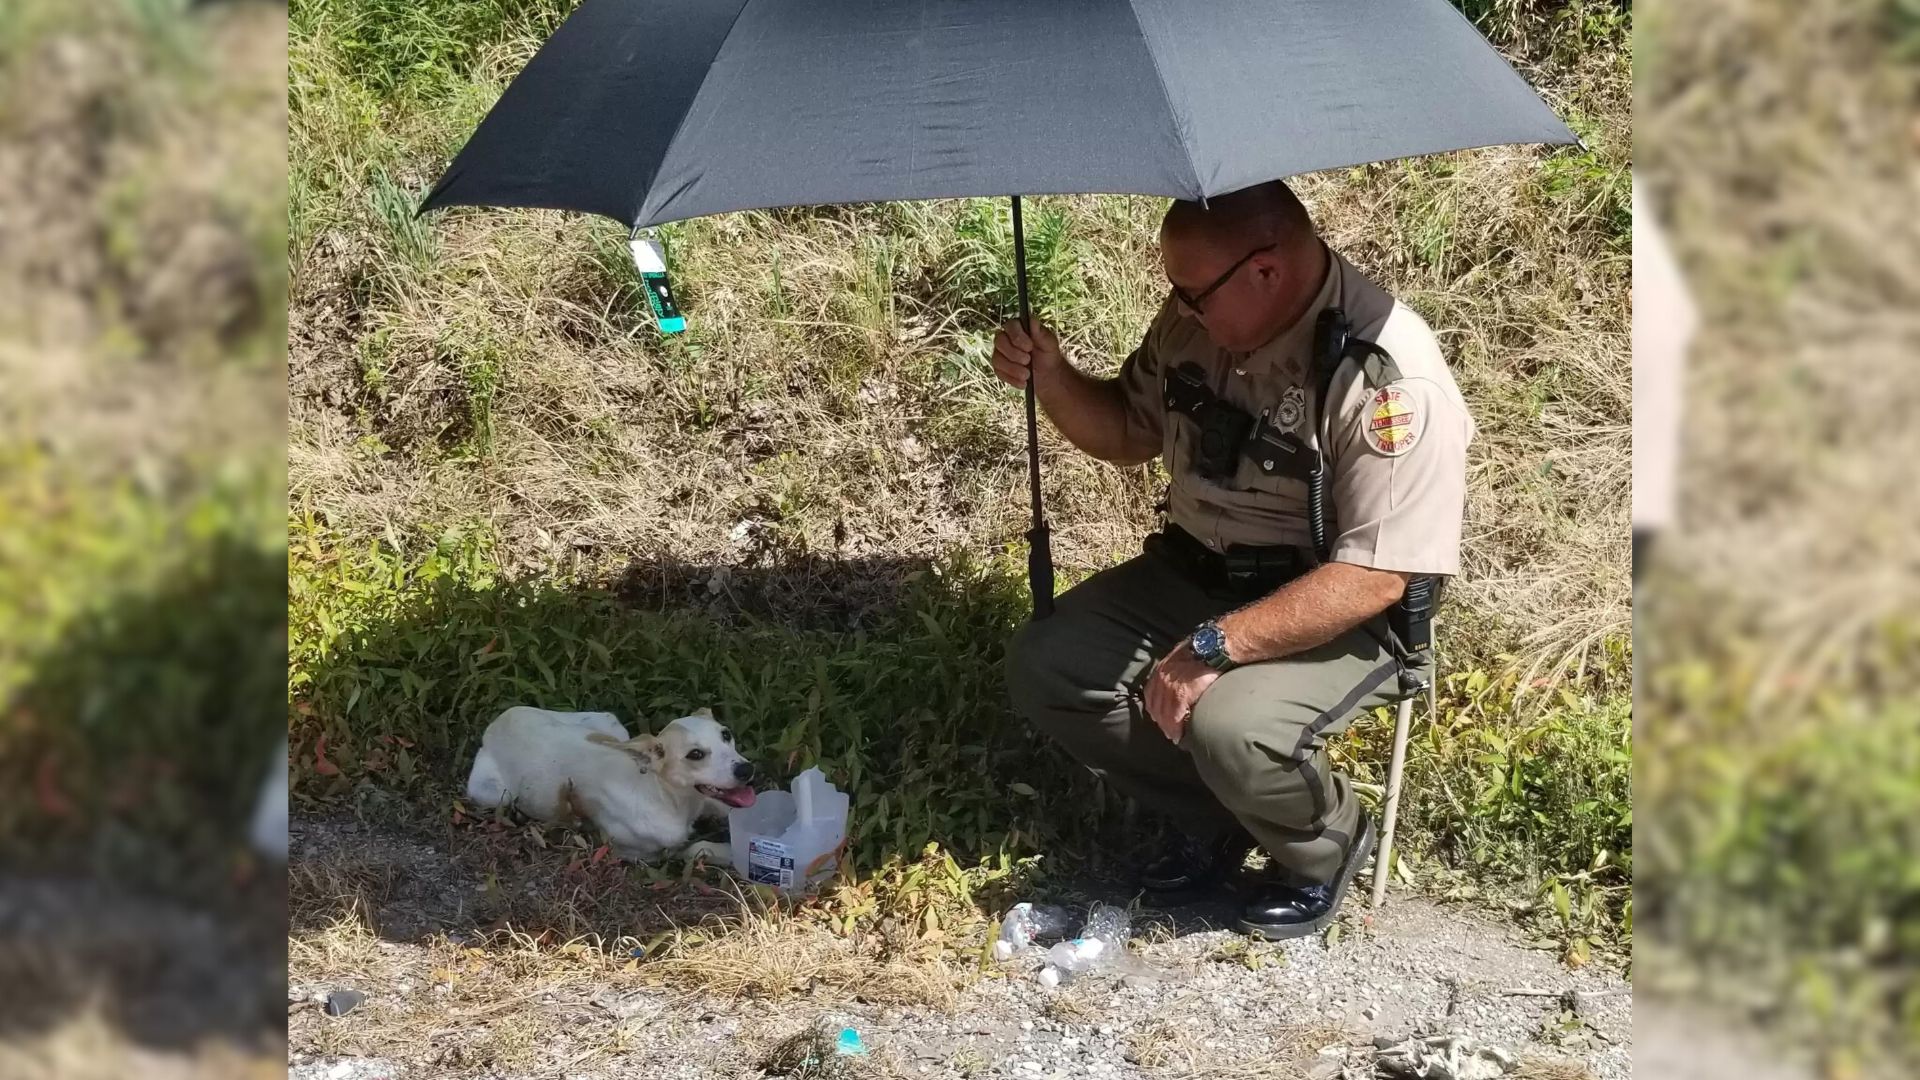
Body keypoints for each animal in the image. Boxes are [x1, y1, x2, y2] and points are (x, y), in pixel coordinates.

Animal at [464, 703, 756, 860]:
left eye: (726, 734)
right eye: (695, 754)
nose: (746, 769)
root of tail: (498, 722)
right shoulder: (640, 854)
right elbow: (699, 847)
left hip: (609, 723)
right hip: (493, 795)